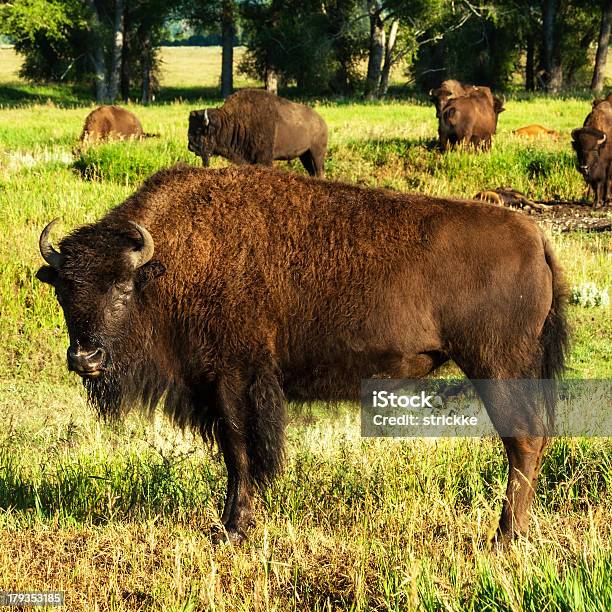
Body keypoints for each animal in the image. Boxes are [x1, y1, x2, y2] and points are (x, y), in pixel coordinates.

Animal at [35, 165, 568, 544]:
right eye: (62, 292)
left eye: (123, 289)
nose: (85, 359)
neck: (168, 265)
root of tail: (535, 237)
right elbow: (237, 454)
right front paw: (231, 524)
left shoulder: (235, 379)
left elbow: (241, 452)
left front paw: (232, 530)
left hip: (497, 367)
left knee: (523, 440)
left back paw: (503, 539)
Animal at [188, 89, 328, 179]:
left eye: (199, 130)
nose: (190, 147)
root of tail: (322, 122)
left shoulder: (264, 159)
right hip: (304, 156)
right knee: (312, 172)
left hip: (316, 154)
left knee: (319, 171)